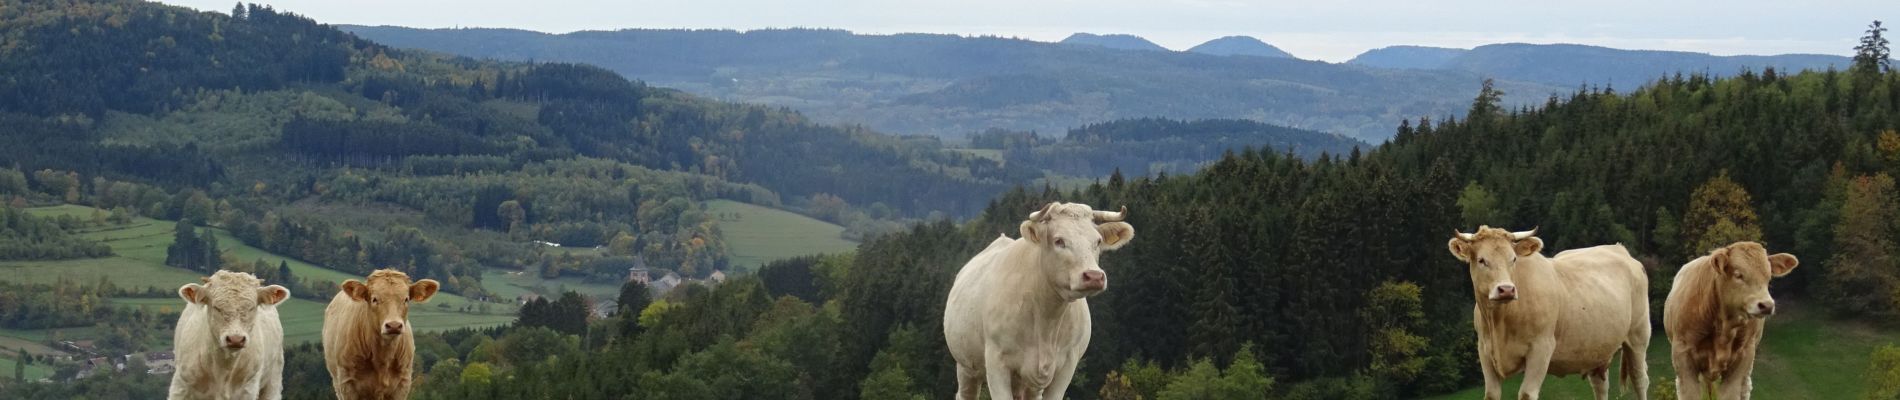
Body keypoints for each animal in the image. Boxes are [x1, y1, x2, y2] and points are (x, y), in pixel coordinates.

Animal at [168, 269, 288, 400]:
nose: (236, 339)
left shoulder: (248, 390)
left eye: (251, 307)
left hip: (274, 379)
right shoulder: (180, 386)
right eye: (216, 307)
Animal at [328, 269, 446, 400]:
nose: (394, 325)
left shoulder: (403, 384)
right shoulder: (347, 383)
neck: (383, 357)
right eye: (374, 299)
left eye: (406, 299)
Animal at [942, 202, 1132, 400]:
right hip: (966, 367)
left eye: (1098, 241)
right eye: (1059, 241)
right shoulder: (996, 363)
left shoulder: (1067, 365)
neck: (1046, 318)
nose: (1094, 276)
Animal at [1444, 226, 1656, 398]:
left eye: (1513, 259)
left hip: (1638, 336)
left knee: (1639, 379)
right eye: (1481, 260)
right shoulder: (1485, 351)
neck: (1500, 320)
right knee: (1600, 385)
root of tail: (1619, 249)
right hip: (1597, 348)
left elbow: (1527, 394)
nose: (1506, 289)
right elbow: (1491, 394)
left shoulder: (1541, 348)